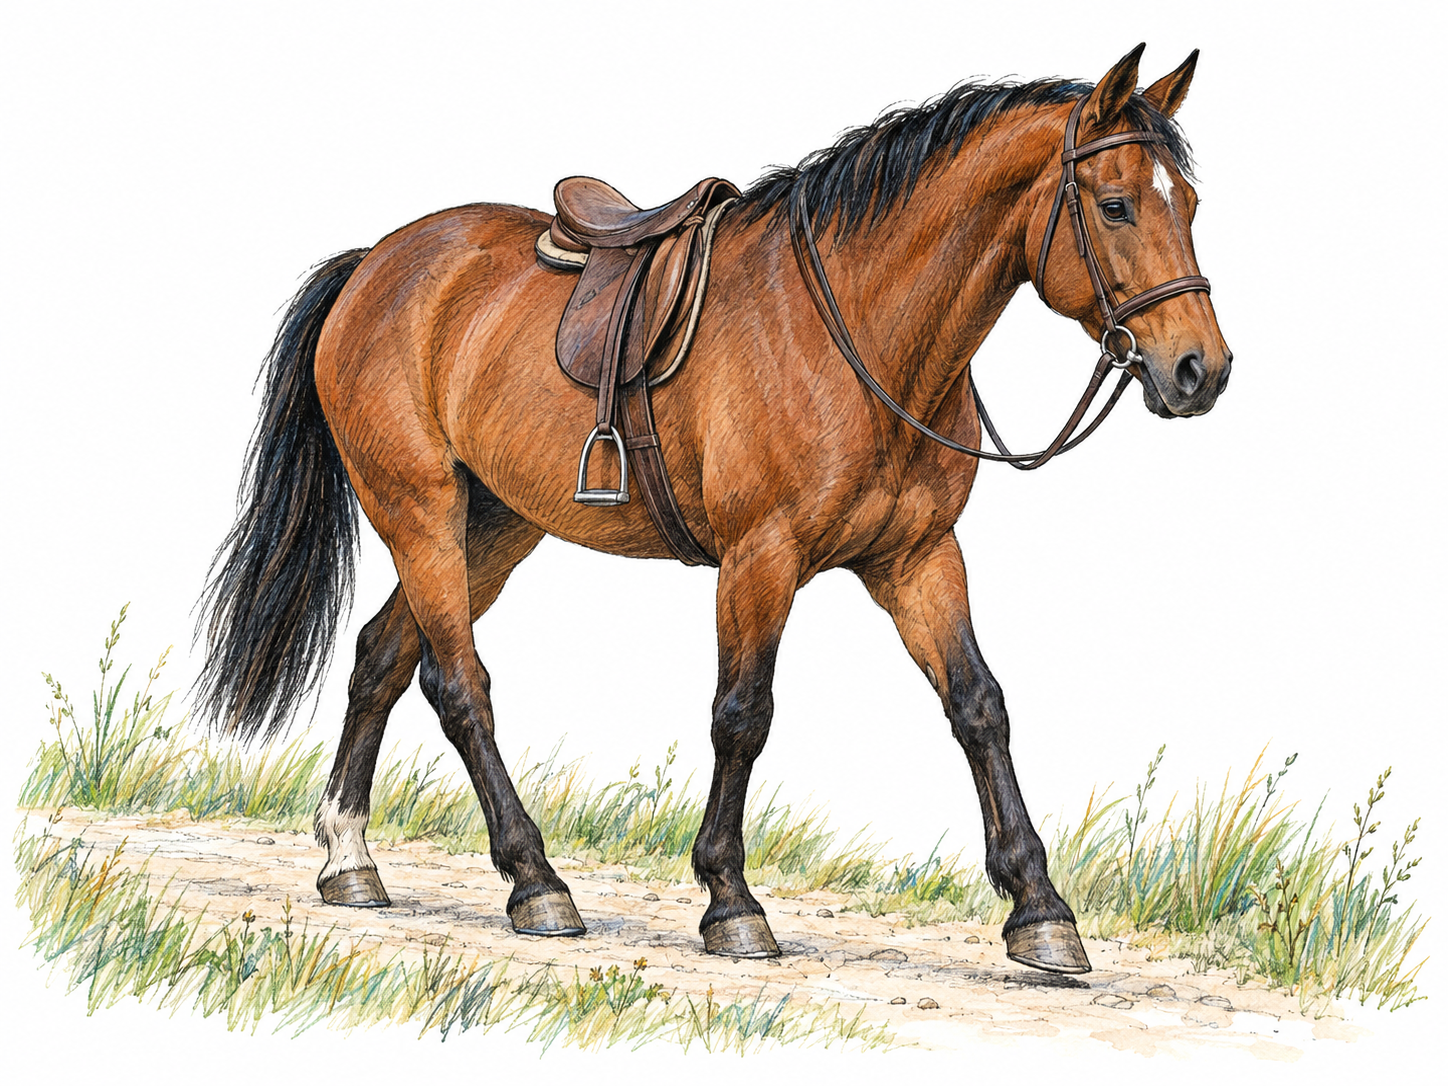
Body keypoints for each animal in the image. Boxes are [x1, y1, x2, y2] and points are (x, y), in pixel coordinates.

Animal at [197, 44, 1230, 974]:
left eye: (1189, 203)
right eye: (1115, 204)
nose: (1200, 371)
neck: (856, 325)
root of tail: (377, 263)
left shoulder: (920, 557)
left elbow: (979, 706)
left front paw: (1040, 910)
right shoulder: (760, 558)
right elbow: (743, 714)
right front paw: (731, 901)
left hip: (493, 528)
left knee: (381, 654)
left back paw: (350, 858)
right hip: (418, 511)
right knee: (458, 686)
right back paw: (536, 883)